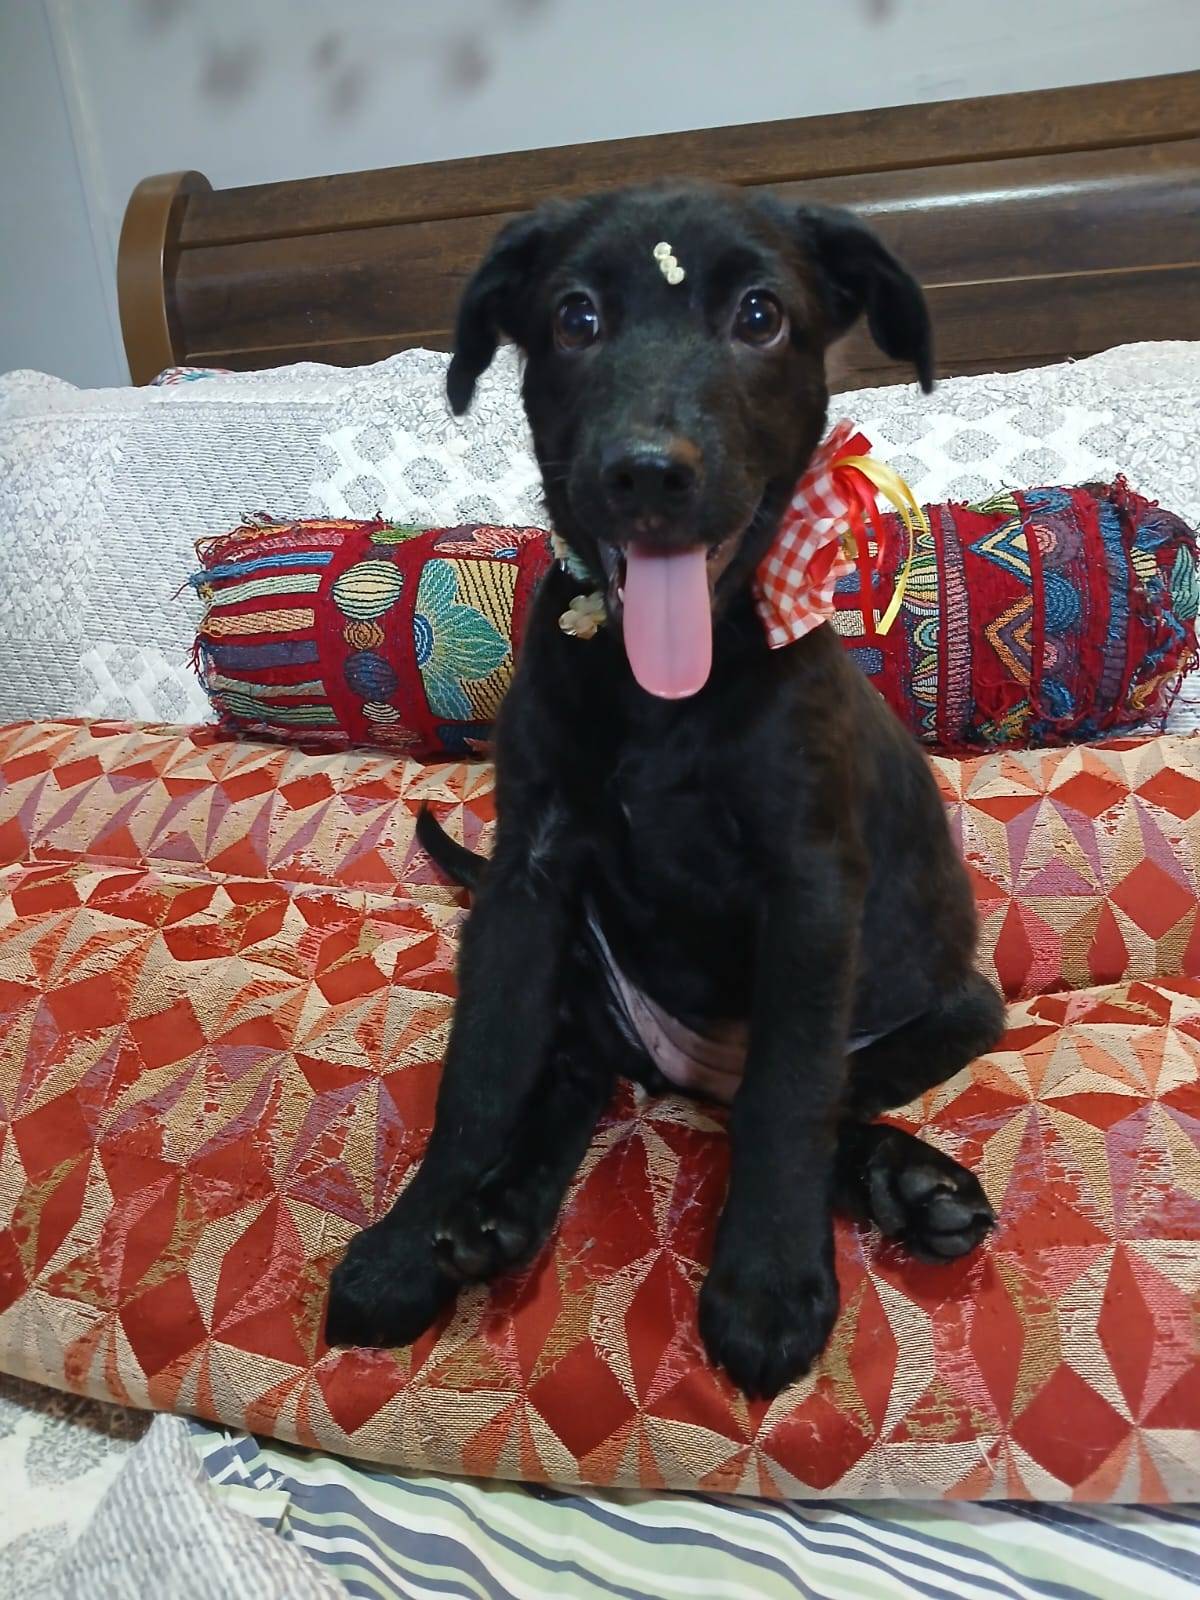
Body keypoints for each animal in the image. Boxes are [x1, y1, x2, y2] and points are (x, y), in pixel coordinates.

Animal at [325, 182, 1006, 1398]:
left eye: (760, 317)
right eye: (576, 318)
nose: (648, 473)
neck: (665, 691)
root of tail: (685, 1070)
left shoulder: (810, 893)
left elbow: (789, 1098)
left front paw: (767, 1286)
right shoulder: (528, 882)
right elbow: (478, 1077)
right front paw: (407, 1245)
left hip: (948, 1007)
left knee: (803, 1097)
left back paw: (911, 1186)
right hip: (589, 977)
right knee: (573, 1069)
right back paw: (497, 1216)